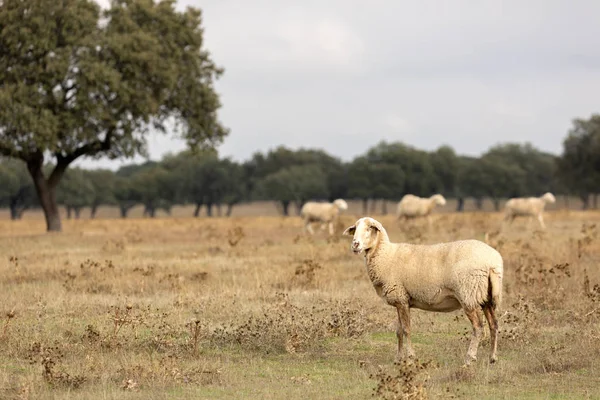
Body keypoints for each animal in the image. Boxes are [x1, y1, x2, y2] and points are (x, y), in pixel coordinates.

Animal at [342, 217, 502, 368]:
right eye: (355, 228)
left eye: (370, 227)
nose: (355, 244)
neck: (386, 255)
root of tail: (493, 262)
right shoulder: (401, 300)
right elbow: (398, 331)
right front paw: (398, 359)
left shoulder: (400, 297)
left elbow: (406, 330)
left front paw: (410, 358)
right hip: (485, 296)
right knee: (493, 324)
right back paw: (492, 358)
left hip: (468, 294)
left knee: (478, 327)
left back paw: (469, 359)